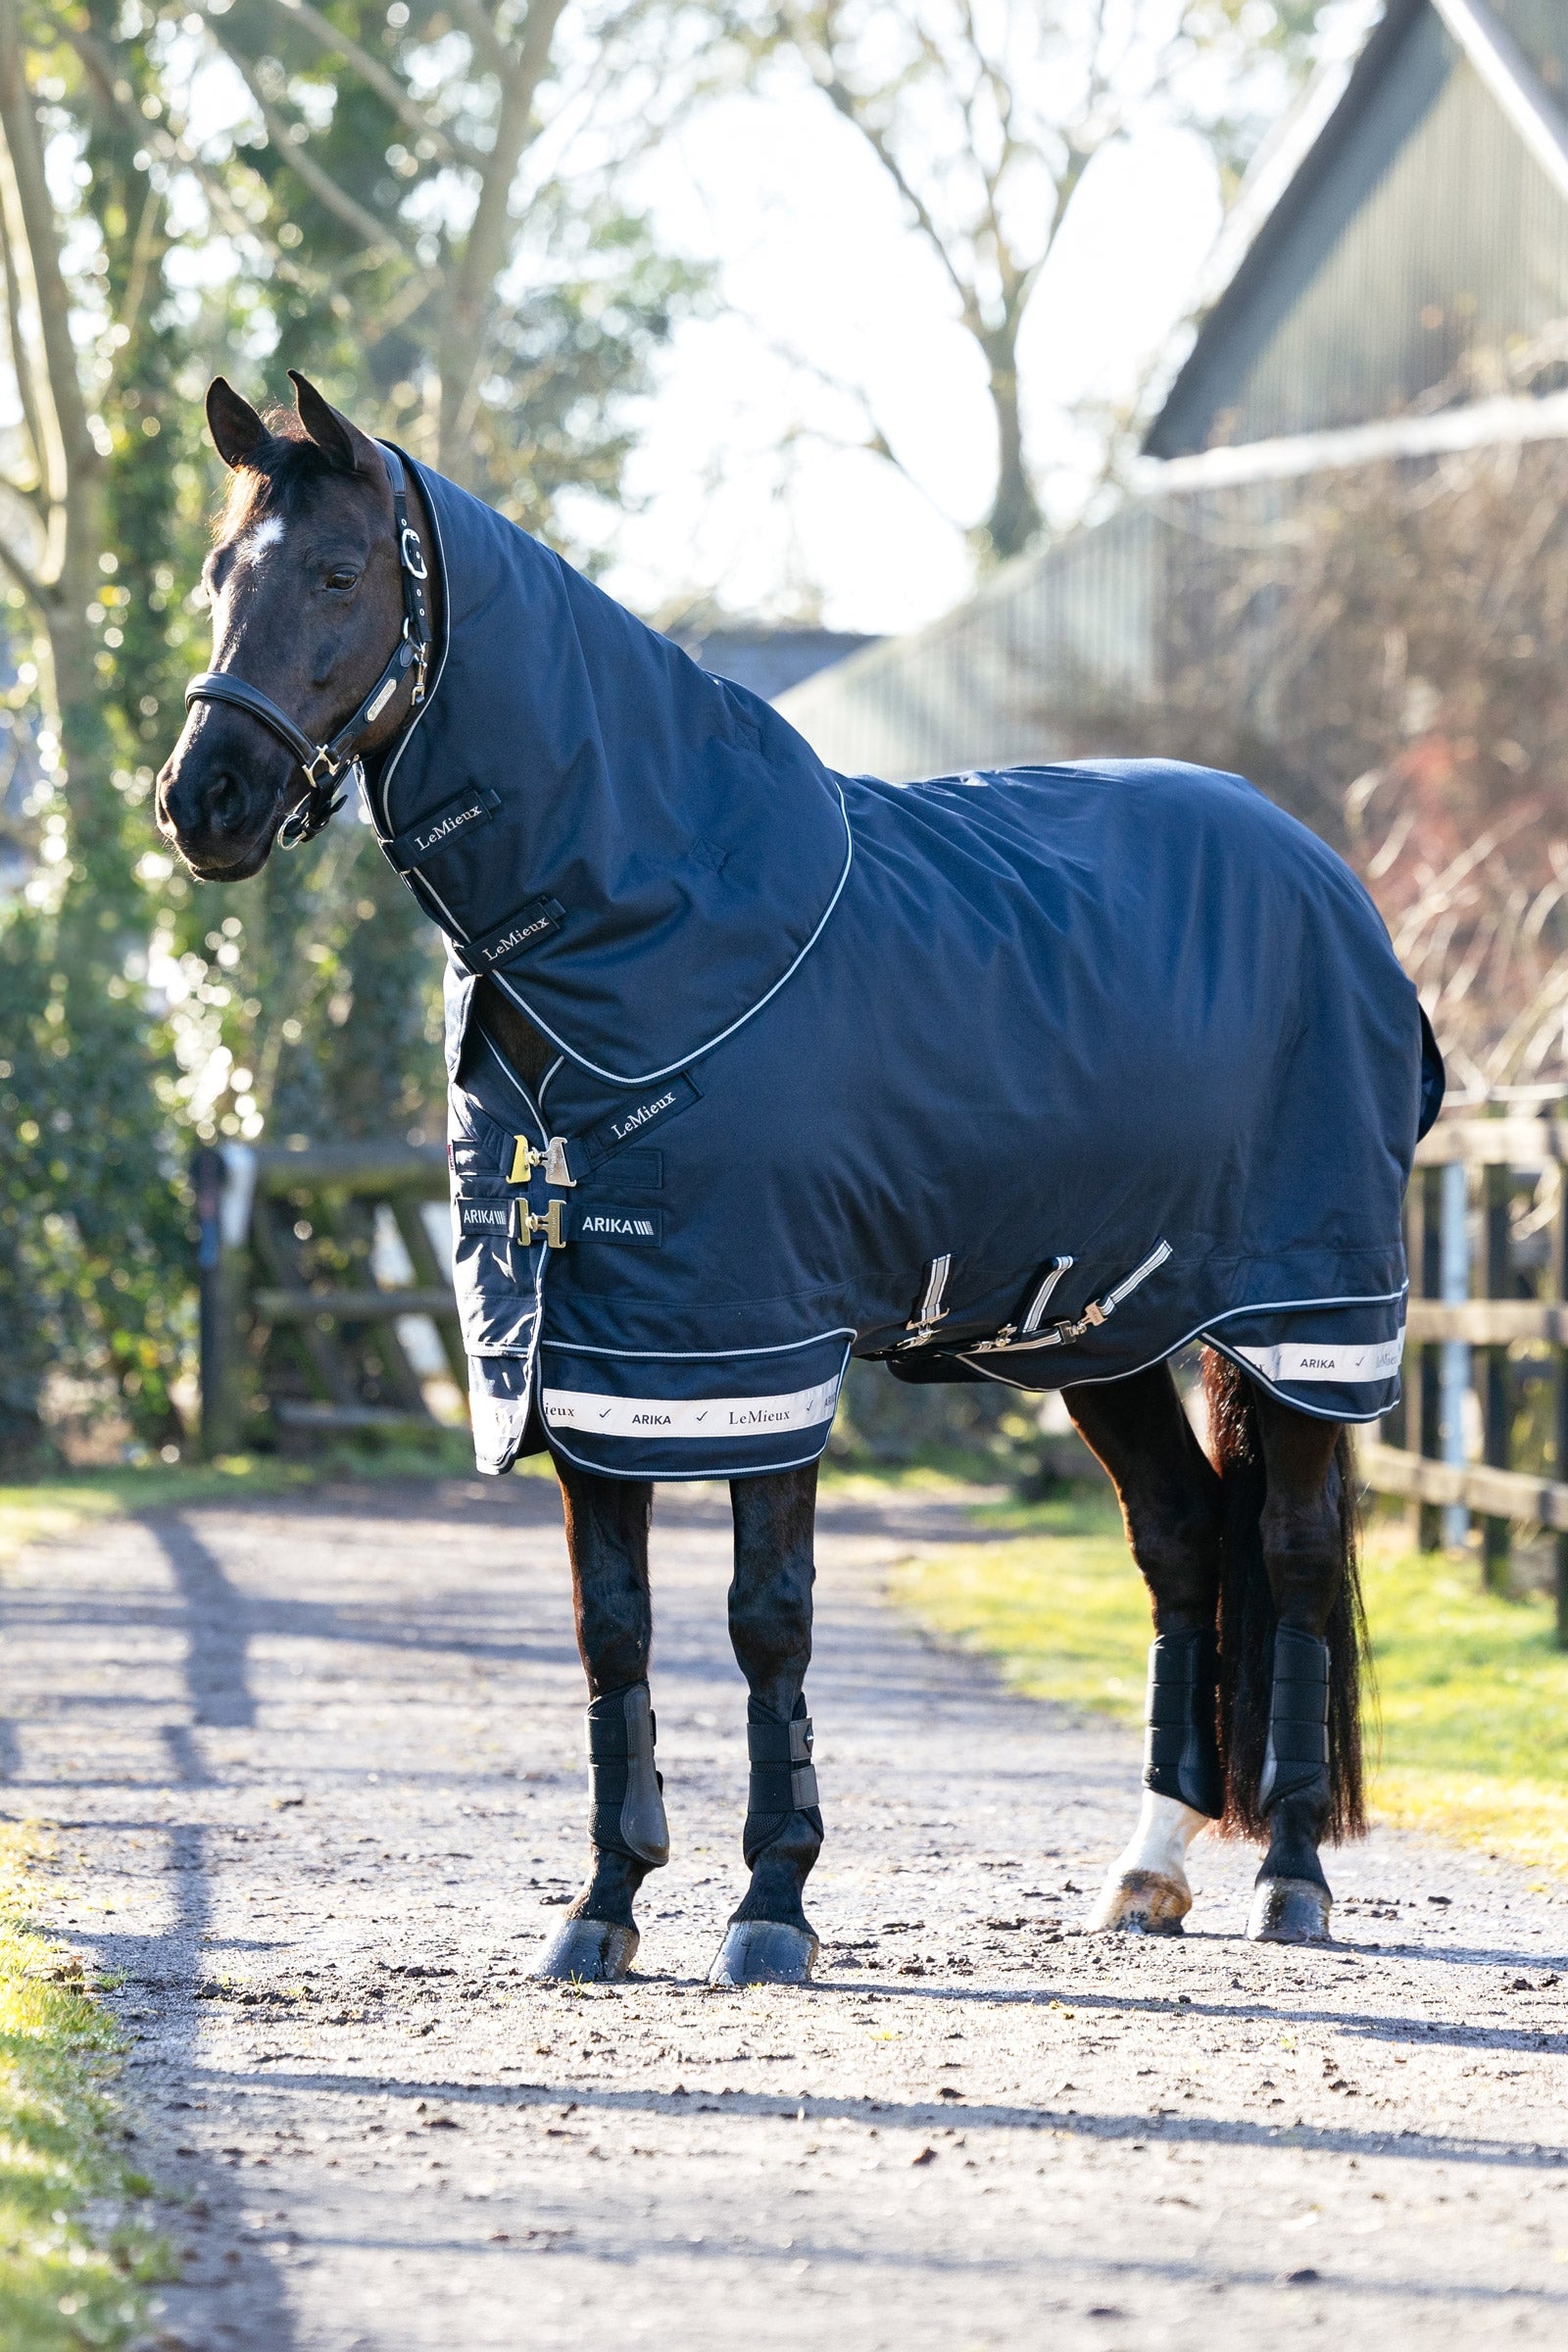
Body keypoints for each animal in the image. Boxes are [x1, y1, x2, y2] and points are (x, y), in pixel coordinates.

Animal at [155, 370, 1436, 1986]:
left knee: (1294, 1552)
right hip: (1100, 1334)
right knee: (1184, 1544)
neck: (657, 928)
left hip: (1305, 1325)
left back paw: (1288, 1877)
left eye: (335, 574)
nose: (202, 799)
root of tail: (1326, 878)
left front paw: (770, 1904)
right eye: (217, 574)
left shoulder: (755, 1347)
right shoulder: (592, 1357)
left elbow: (767, 1622)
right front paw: (605, 1903)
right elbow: (614, 1628)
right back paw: (1145, 1871)